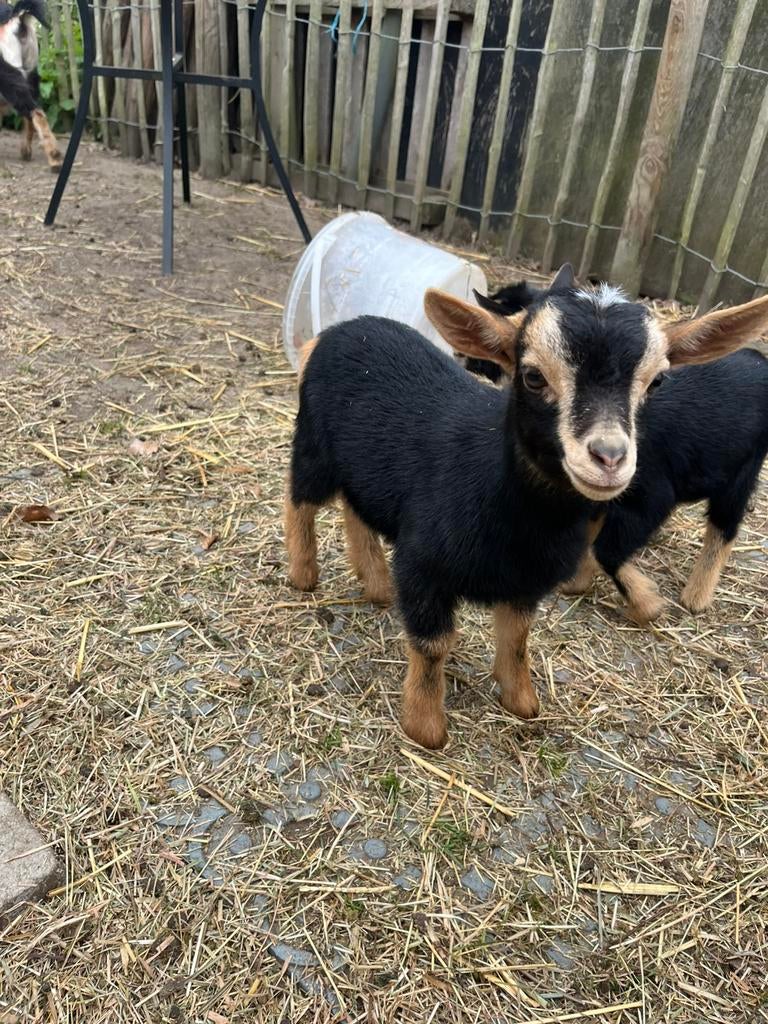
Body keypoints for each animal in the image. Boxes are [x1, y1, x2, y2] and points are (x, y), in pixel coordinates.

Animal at [0, 0, 61, 170]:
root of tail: (17, 19)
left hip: (9, 76)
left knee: (35, 112)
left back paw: (55, 158)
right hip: (31, 73)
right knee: (32, 114)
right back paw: (26, 151)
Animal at [463, 282, 768, 624]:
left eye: (657, 381)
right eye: (534, 375)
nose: (609, 459)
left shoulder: (651, 494)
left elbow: (605, 551)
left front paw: (649, 605)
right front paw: (578, 582)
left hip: (745, 467)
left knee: (725, 524)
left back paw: (697, 596)